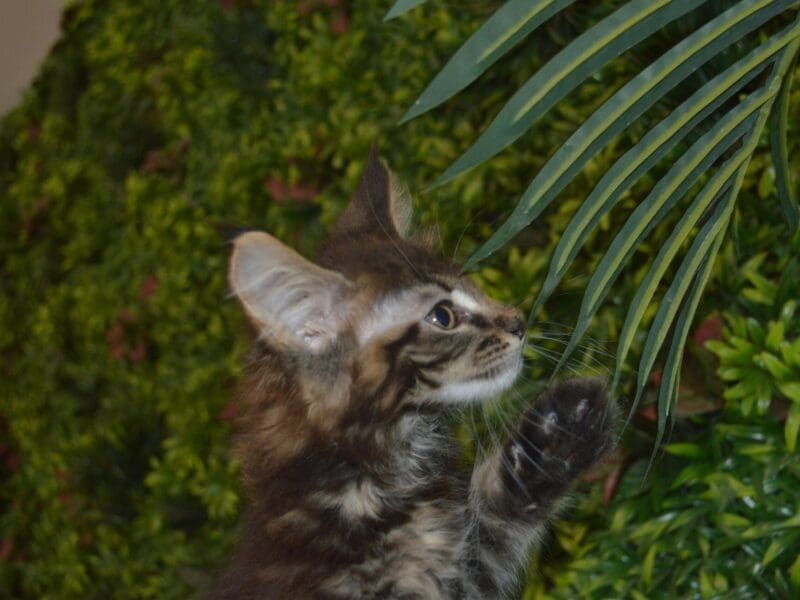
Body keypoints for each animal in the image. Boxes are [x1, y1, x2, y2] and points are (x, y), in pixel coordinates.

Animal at [209, 150, 616, 600]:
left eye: (473, 285)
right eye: (443, 316)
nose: (518, 321)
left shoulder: (468, 571)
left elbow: (498, 514)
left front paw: (560, 431)